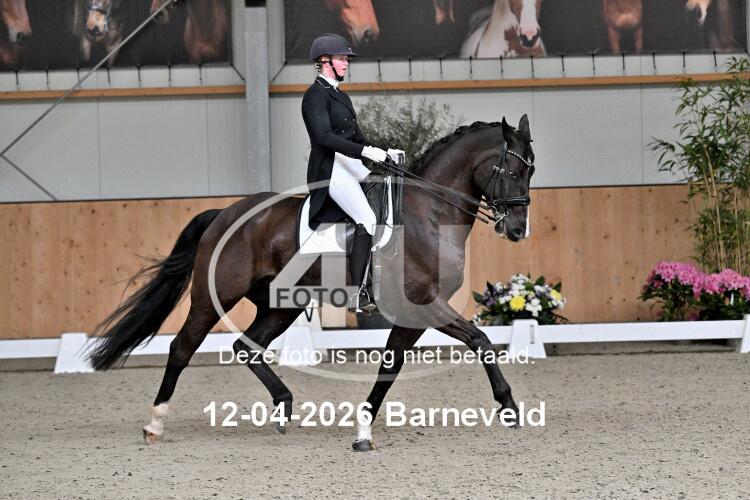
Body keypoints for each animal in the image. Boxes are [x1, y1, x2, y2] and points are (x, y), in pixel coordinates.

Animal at [87, 115, 536, 451]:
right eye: (513, 170)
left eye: (531, 171)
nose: (517, 230)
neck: (429, 213)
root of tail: (224, 213)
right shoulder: (424, 302)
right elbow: (480, 339)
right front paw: (509, 407)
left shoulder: (415, 313)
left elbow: (391, 366)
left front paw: (363, 431)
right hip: (214, 298)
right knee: (182, 347)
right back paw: (156, 424)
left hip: (280, 304)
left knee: (246, 348)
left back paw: (283, 406)